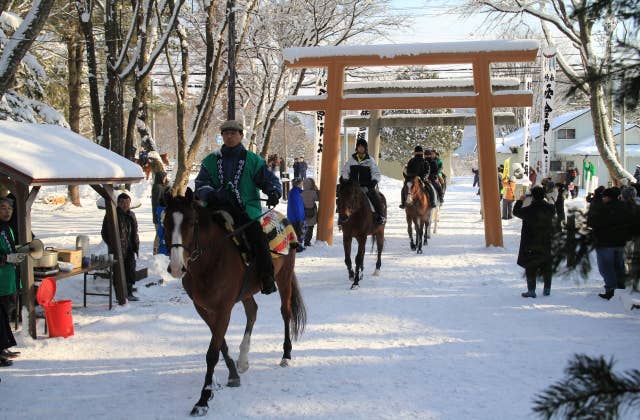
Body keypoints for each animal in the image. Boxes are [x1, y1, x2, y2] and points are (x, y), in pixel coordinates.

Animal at [164, 189, 306, 416]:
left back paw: (286, 355)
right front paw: (231, 373)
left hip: (284, 277)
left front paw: (203, 399)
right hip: (247, 292)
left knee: (285, 312)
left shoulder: (224, 308)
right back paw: (243, 359)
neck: (211, 261)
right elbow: (220, 342)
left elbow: (212, 353)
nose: (177, 267)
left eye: (192, 223)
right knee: (252, 311)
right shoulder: (203, 308)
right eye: (166, 222)